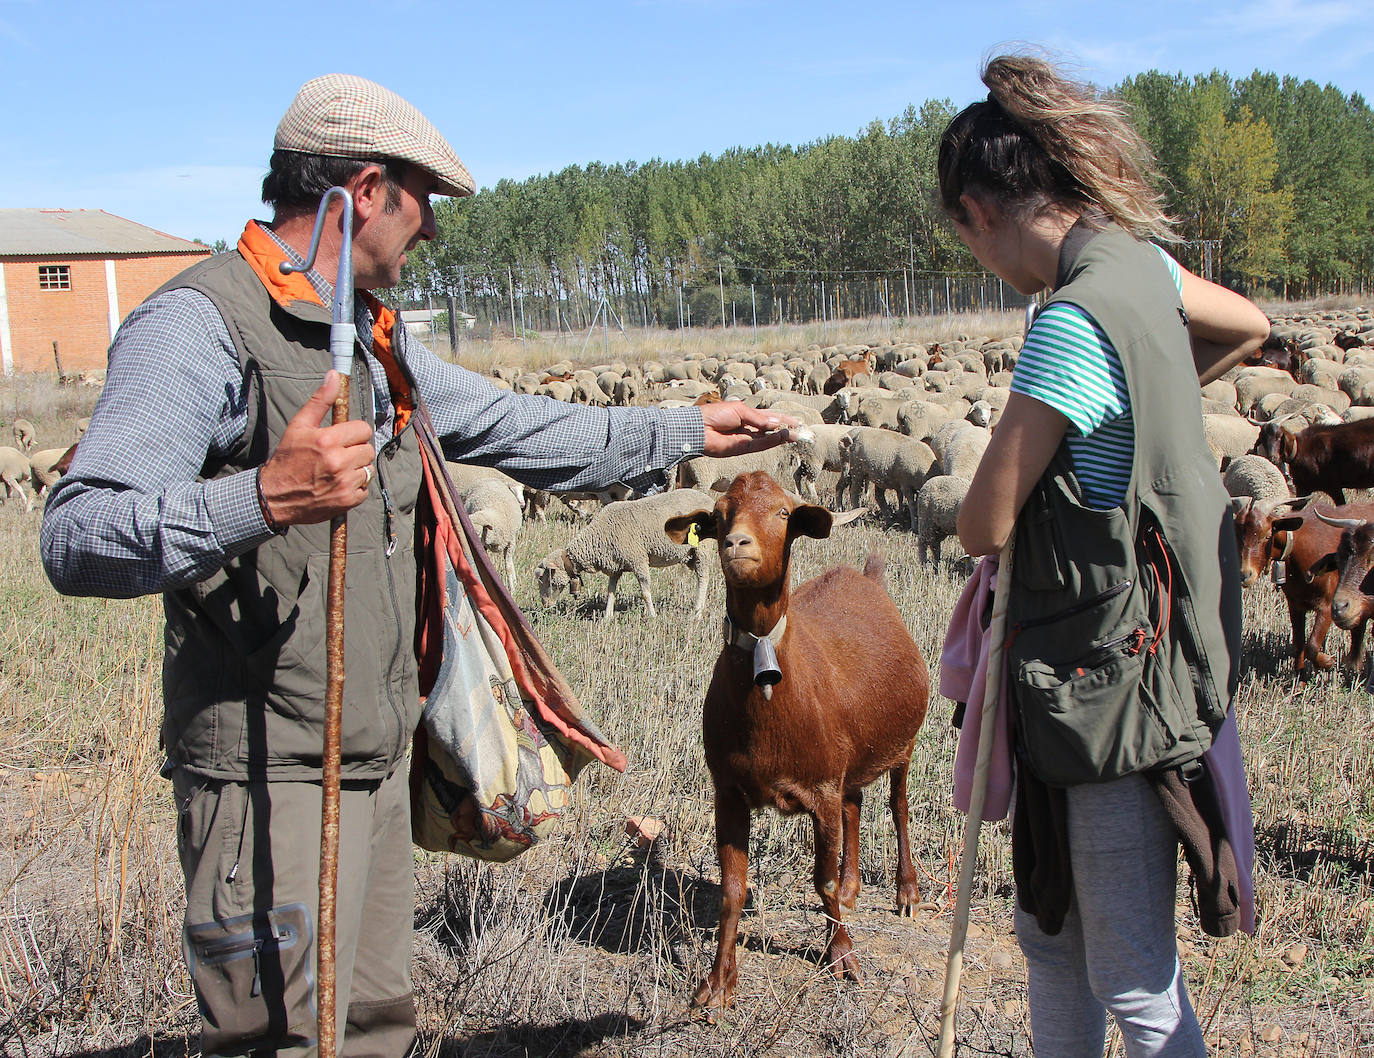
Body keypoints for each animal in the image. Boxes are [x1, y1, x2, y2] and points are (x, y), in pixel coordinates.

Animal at [530, 486, 714, 618]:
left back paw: (697, 612)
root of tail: (710, 500)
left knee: (703, 577)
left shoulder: (638, 559)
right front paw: (607, 617)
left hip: (702, 549)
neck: (597, 537)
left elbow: (645, 592)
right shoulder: (615, 565)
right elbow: (611, 591)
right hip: (690, 554)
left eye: (545, 579)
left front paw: (652, 616)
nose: (545, 605)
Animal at [659, 472, 928, 1011]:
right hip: (850, 758)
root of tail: (867, 578)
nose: (736, 544)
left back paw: (905, 891)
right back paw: (853, 888)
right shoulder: (729, 792)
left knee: (898, 807)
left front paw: (842, 955)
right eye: (717, 514)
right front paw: (717, 984)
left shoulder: (819, 789)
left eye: (784, 513)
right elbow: (732, 889)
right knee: (855, 805)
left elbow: (820, 878)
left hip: (902, 746)